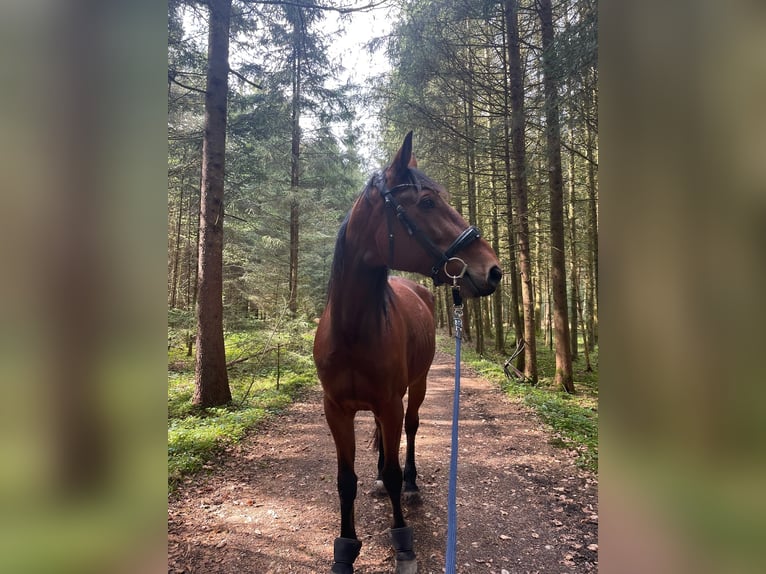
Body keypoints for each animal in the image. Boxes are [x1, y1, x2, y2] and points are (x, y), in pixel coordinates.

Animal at [313, 132, 502, 573]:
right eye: (428, 203)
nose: (493, 269)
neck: (353, 329)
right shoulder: (337, 409)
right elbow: (345, 480)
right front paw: (345, 547)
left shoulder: (389, 402)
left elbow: (397, 466)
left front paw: (402, 542)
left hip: (415, 387)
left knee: (411, 431)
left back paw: (411, 484)